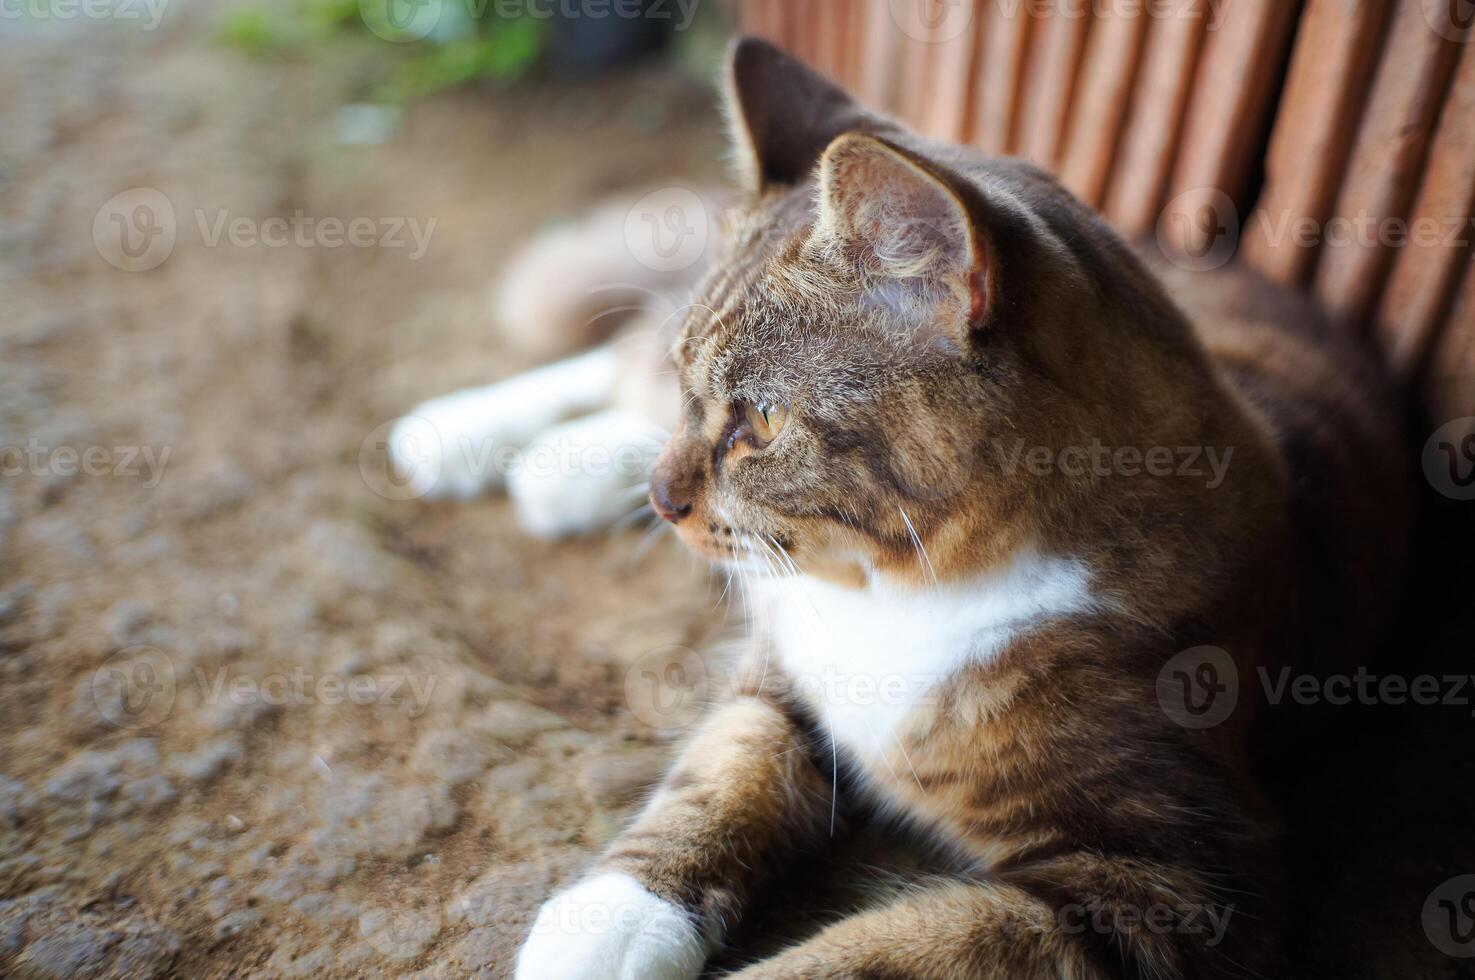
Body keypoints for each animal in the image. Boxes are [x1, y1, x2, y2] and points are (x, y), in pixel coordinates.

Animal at [513, 38, 1398, 980]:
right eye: (697, 392)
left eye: (762, 421)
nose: (661, 498)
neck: (901, 593)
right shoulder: (783, 675)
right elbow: (722, 765)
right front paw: (609, 917)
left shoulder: (1185, 879)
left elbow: (904, 946)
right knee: (613, 361)